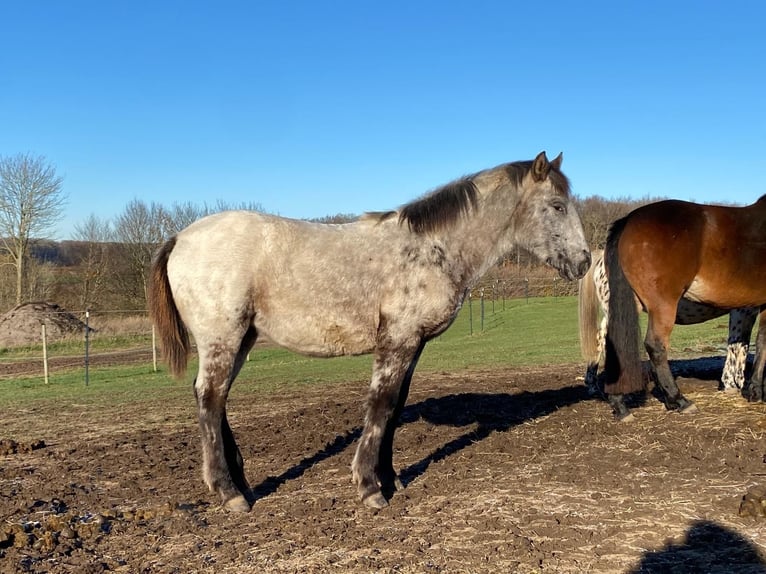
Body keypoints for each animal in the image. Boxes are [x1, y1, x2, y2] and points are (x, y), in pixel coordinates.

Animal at [148, 151, 592, 512]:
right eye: (556, 205)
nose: (584, 261)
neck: (431, 249)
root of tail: (180, 237)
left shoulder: (414, 345)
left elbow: (395, 408)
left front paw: (391, 478)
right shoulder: (397, 341)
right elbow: (381, 405)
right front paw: (369, 487)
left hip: (242, 339)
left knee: (216, 398)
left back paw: (241, 482)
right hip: (223, 339)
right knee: (209, 398)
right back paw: (229, 493)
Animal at [603, 196, 766, 420]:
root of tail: (629, 219)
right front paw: (756, 391)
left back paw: (620, 404)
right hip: (663, 305)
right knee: (656, 346)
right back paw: (679, 400)